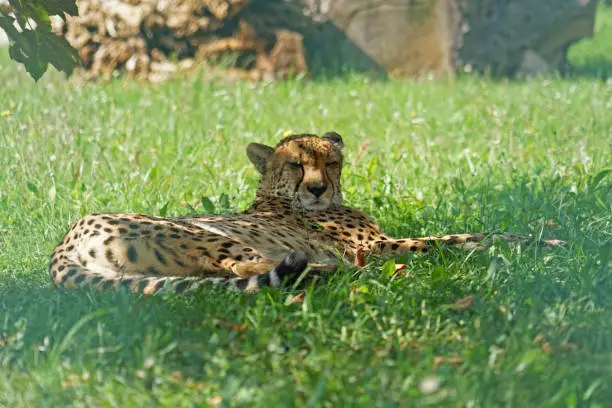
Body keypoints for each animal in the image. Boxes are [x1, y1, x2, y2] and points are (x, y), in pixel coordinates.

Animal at [49, 132, 564, 294]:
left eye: (330, 162)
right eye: (296, 164)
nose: (316, 188)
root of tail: (66, 240)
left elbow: (464, 235)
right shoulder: (380, 244)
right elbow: (460, 238)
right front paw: (541, 241)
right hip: (204, 232)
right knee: (250, 266)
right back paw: (353, 275)